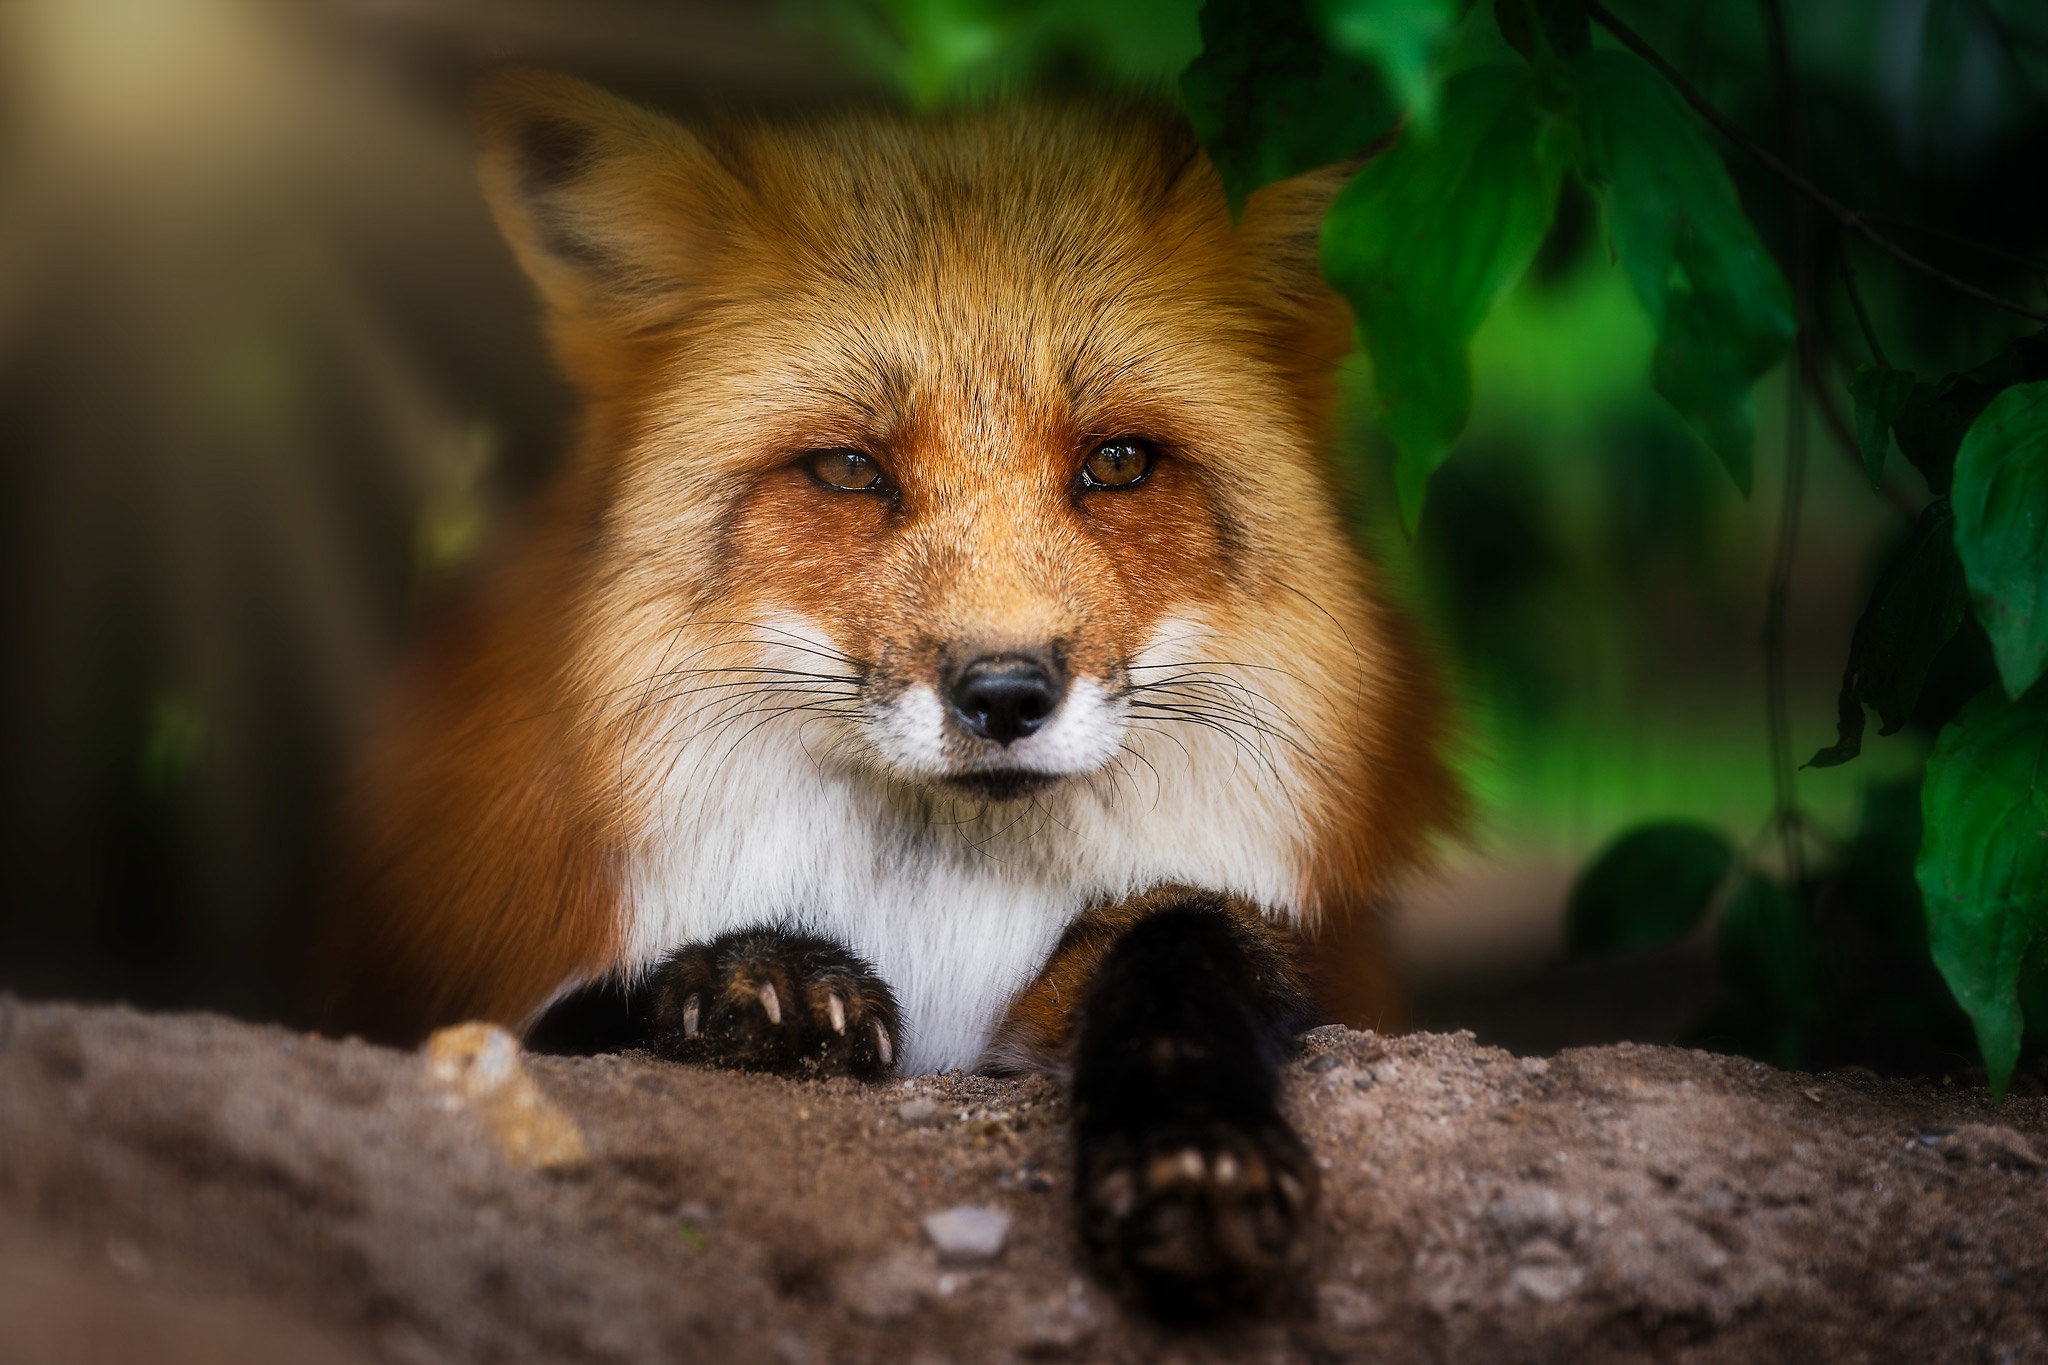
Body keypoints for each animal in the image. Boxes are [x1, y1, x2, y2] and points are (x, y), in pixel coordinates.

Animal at [321, 70, 1461, 1316]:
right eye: (848, 470)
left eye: (1115, 463)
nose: (1004, 694)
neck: (935, 919)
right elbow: (573, 1016)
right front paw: (755, 976)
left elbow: (1188, 941)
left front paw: (1198, 1150)